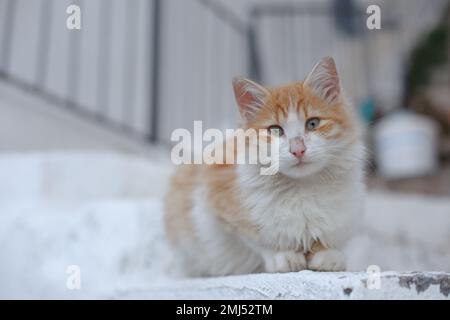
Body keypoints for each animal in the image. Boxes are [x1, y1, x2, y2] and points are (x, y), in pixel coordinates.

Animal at [165, 56, 366, 276]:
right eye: (275, 130)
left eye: (312, 123)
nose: (298, 150)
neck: (301, 188)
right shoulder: (214, 199)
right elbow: (257, 238)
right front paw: (283, 257)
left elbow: (329, 240)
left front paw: (330, 257)